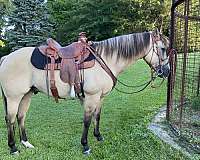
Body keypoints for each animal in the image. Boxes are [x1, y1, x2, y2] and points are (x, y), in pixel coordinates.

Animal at [0, 29, 170, 154]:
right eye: (162, 49)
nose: (167, 72)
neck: (105, 60)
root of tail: (6, 57)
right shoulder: (91, 97)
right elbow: (87, 120)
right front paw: (85, 145)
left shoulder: (100, 97)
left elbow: (97, 116)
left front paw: (98, 136)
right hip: (14, 97)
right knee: (10, 119)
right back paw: (13, 148)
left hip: (26, 95)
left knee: (21, 117)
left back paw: (26, 143)